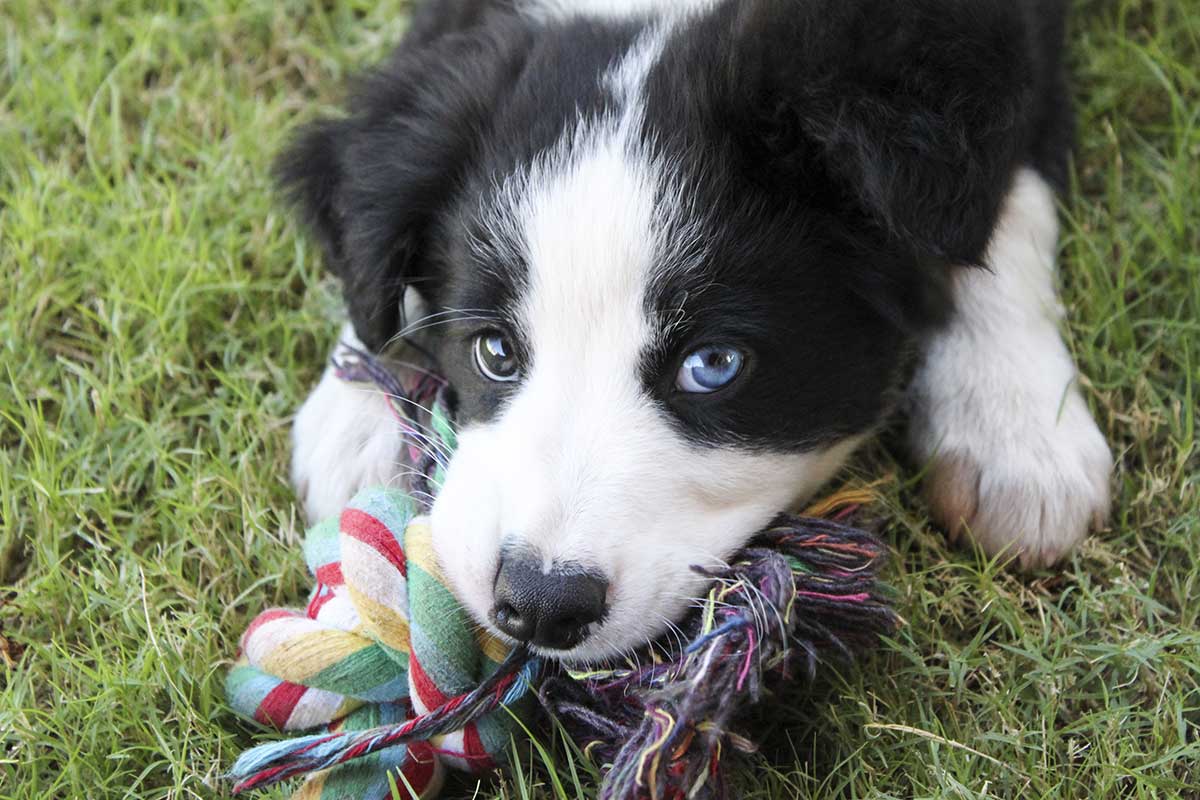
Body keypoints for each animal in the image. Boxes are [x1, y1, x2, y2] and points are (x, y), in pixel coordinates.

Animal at [280, 0, 1113, 662]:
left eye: (712, 365)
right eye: (494, 351)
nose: (541, 606)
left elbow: (1003, 206)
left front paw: (1016, 431)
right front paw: (361, 410)